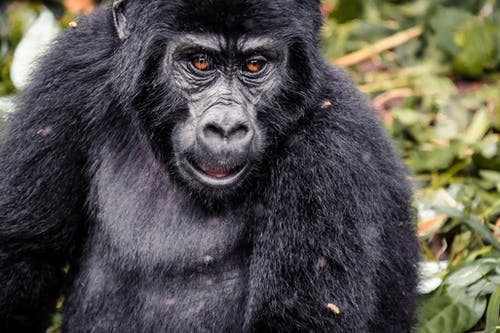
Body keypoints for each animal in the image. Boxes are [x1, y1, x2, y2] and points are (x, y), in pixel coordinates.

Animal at [0, 0, 418, 332]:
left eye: (255, 65)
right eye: (200, 62)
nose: (227, 126)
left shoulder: (333, 147)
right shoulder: (78, 63)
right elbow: (23, 252)